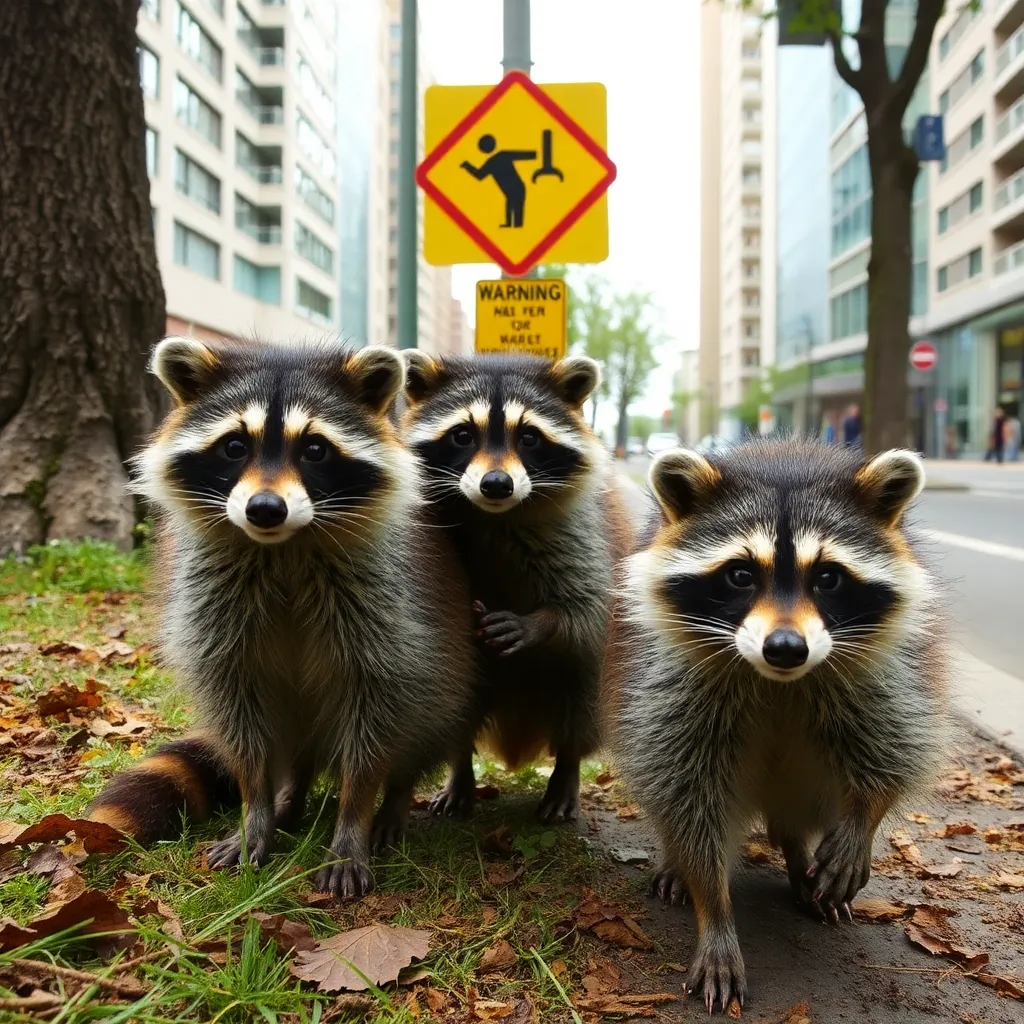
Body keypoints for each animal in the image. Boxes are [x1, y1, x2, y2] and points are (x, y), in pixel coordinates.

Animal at [87, 337, 479, 896]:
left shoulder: (391, 615)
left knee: (421, 723)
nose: (265, 509)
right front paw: (256, 813)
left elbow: (376, 724)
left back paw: (393, 802)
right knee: (293, 744)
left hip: (446, 674)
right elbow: (244, 732)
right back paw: (289, 796)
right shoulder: (213, 614)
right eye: (234, 447)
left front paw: (353, 822)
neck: (284, 546)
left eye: (314, 449)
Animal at [400, 352, 633, 822]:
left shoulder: (590, 532)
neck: (495, 513)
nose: (496, 485)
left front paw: (539, 622)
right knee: (457, 701)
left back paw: (566, 768)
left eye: (528, 437)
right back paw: (460, 768)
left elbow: (591, 607)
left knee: (582, 693)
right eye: (463, 435)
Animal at [605, 440, 949, 1012]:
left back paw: (795, 847)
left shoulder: (885, 669)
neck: (776, 679)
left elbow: (893, 745)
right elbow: (687, 790)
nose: (786, 648)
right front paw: (713, 908)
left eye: (828, 577)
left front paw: (865, 816)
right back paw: (678, 861)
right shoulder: (667, 681)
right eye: (740, 575)